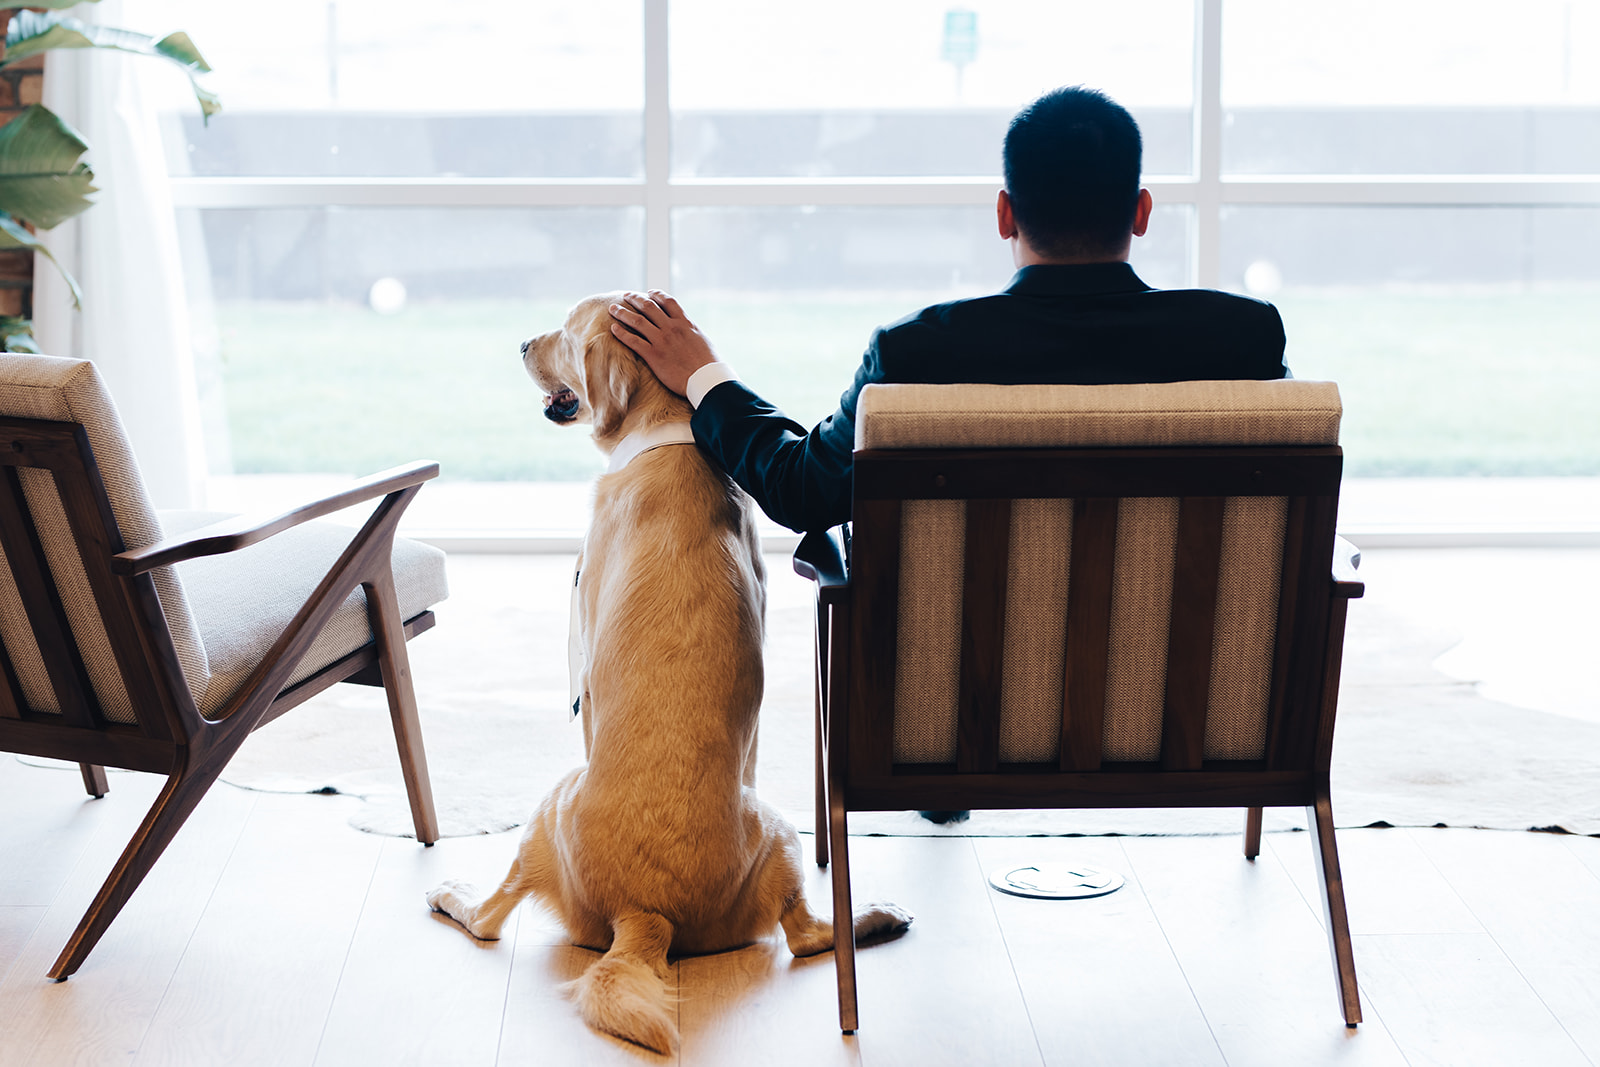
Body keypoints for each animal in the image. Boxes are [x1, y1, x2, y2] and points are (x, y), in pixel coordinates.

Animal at [428, 295, 915, 1055]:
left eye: (565, 331)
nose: (522, 342)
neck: (668, 434)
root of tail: (644, 910)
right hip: (777, 834)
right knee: (807, 934)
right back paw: (878, 917)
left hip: (552, 805)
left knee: (487, 919)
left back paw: (448, 893)